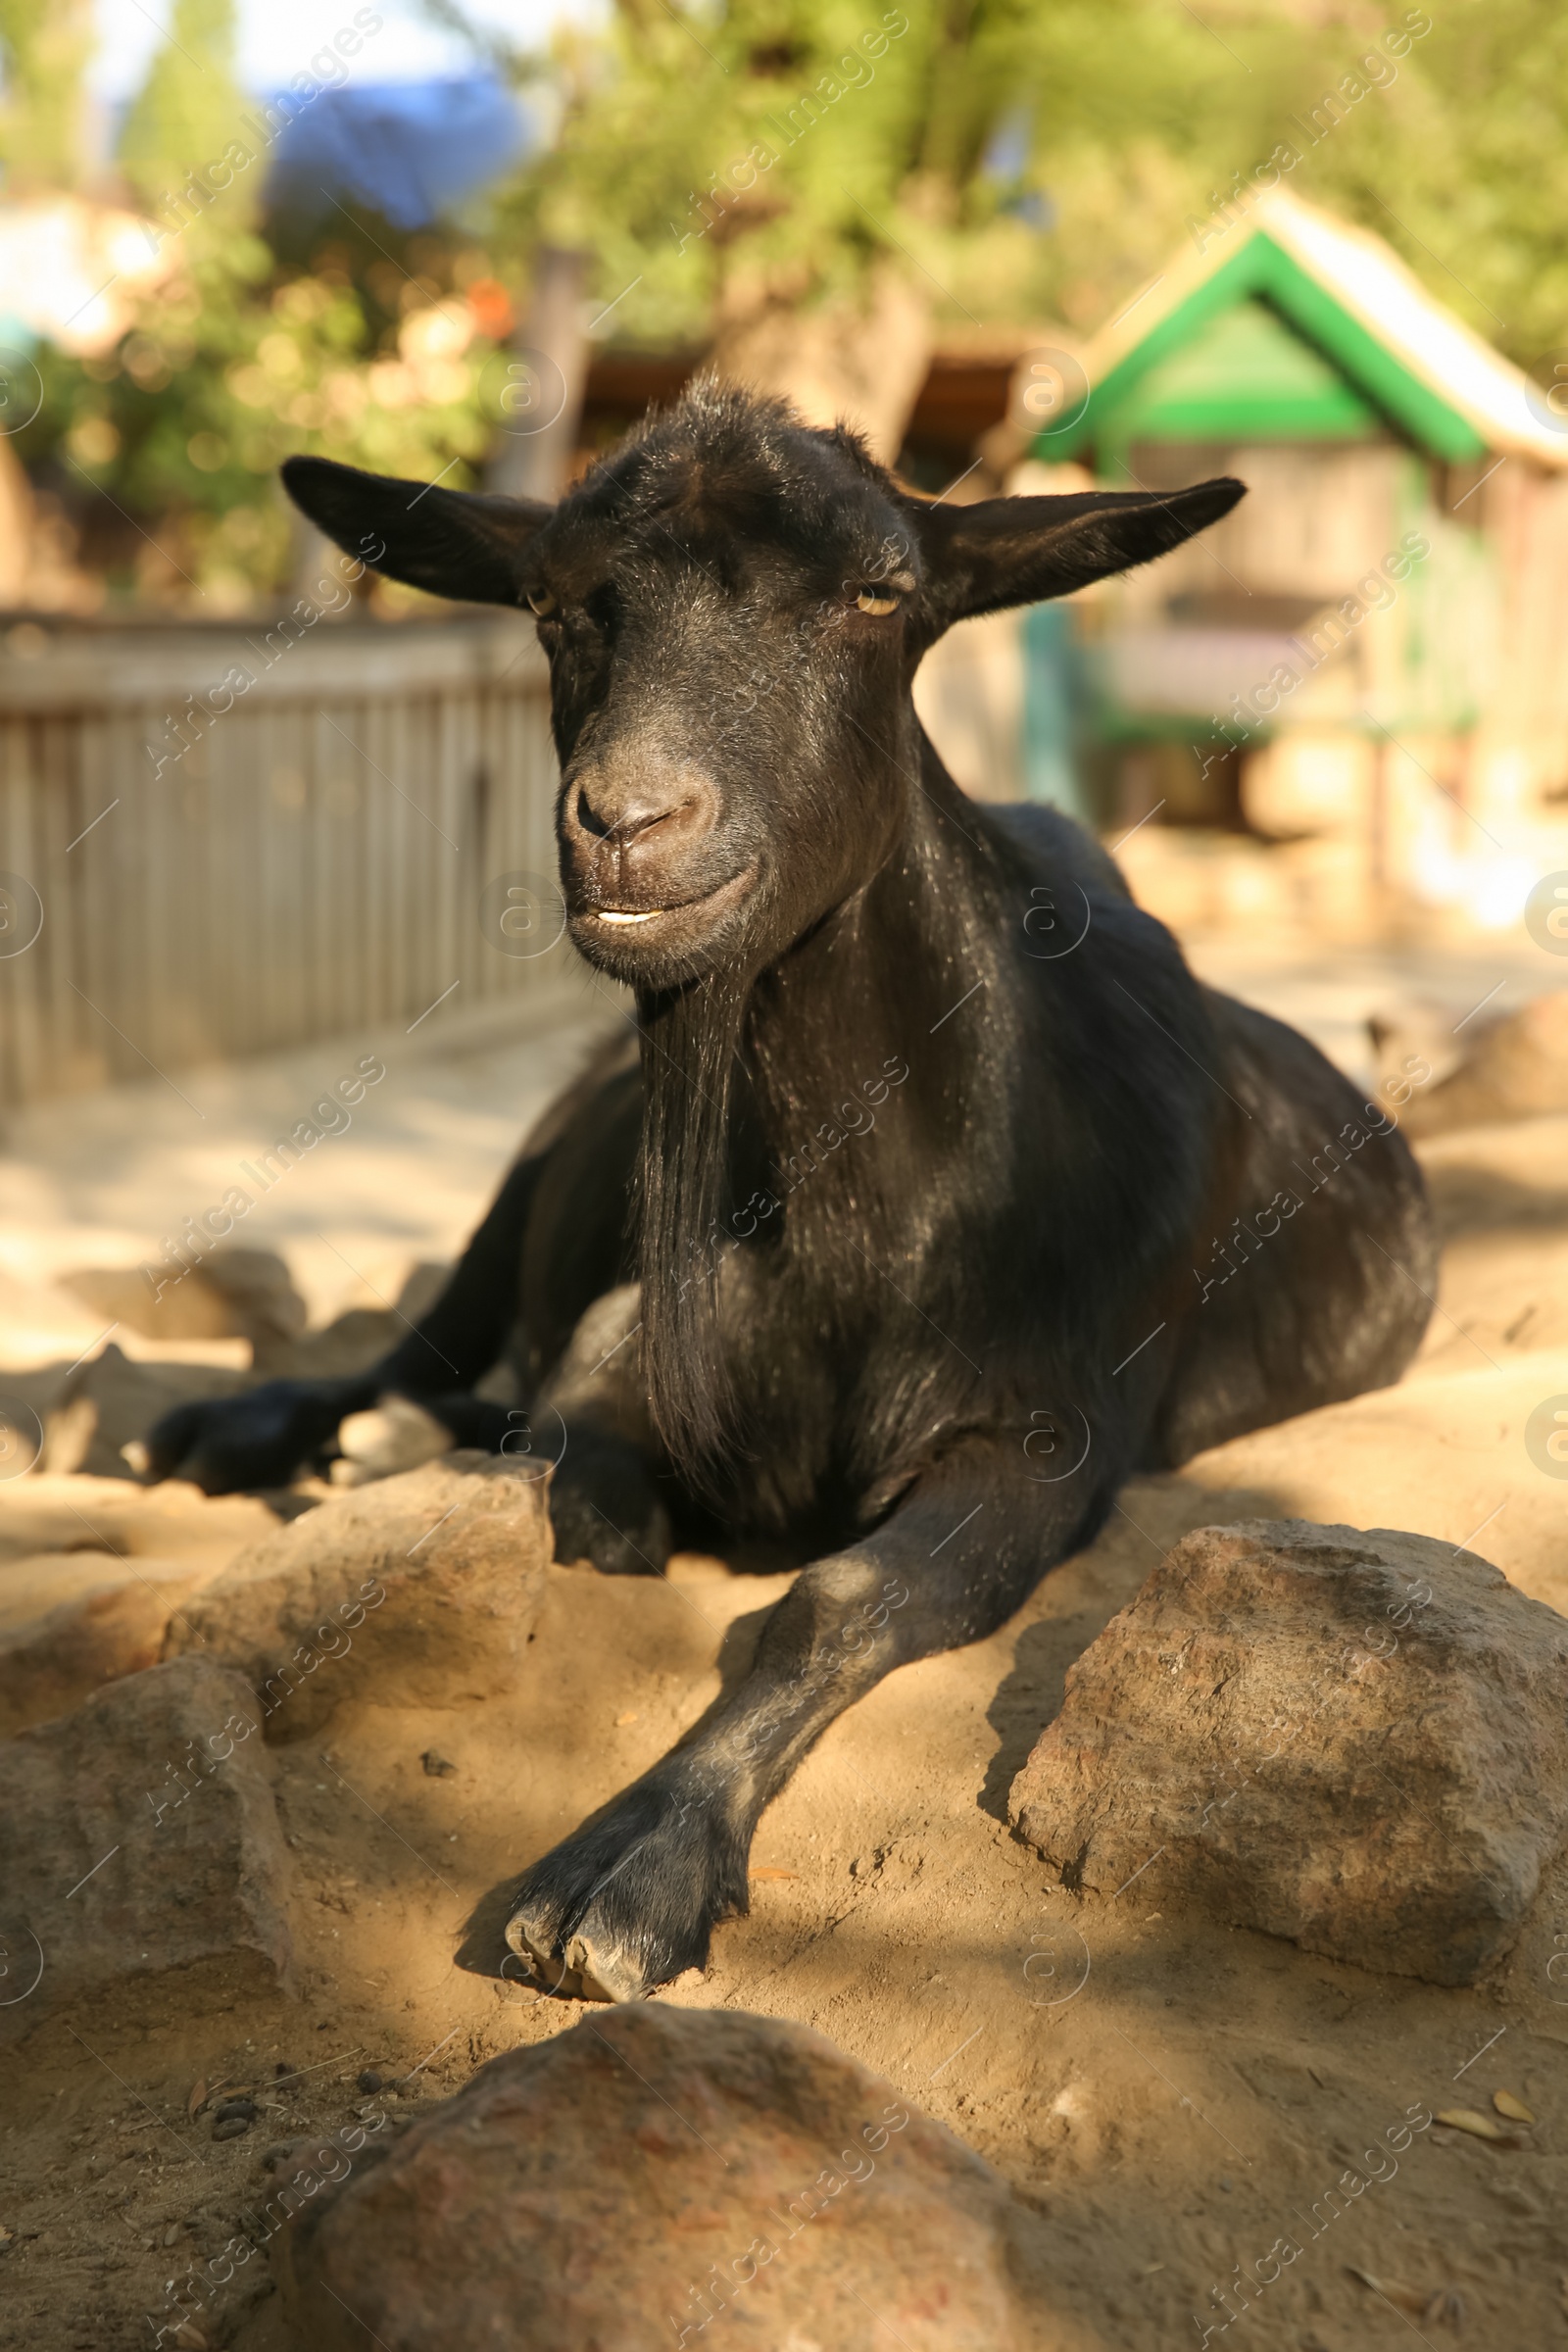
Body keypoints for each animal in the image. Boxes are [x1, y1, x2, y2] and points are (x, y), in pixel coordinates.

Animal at [143, 390, 1439, 2003]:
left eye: (879, 595)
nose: (630, 823)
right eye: (556, 605)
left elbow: (835, 1595)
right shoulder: (623, 1346)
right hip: (533, 1168)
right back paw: (260, 1428)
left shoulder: (1049, 1428)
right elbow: (576, 1491)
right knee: (418, 1344)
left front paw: (628, 1869)